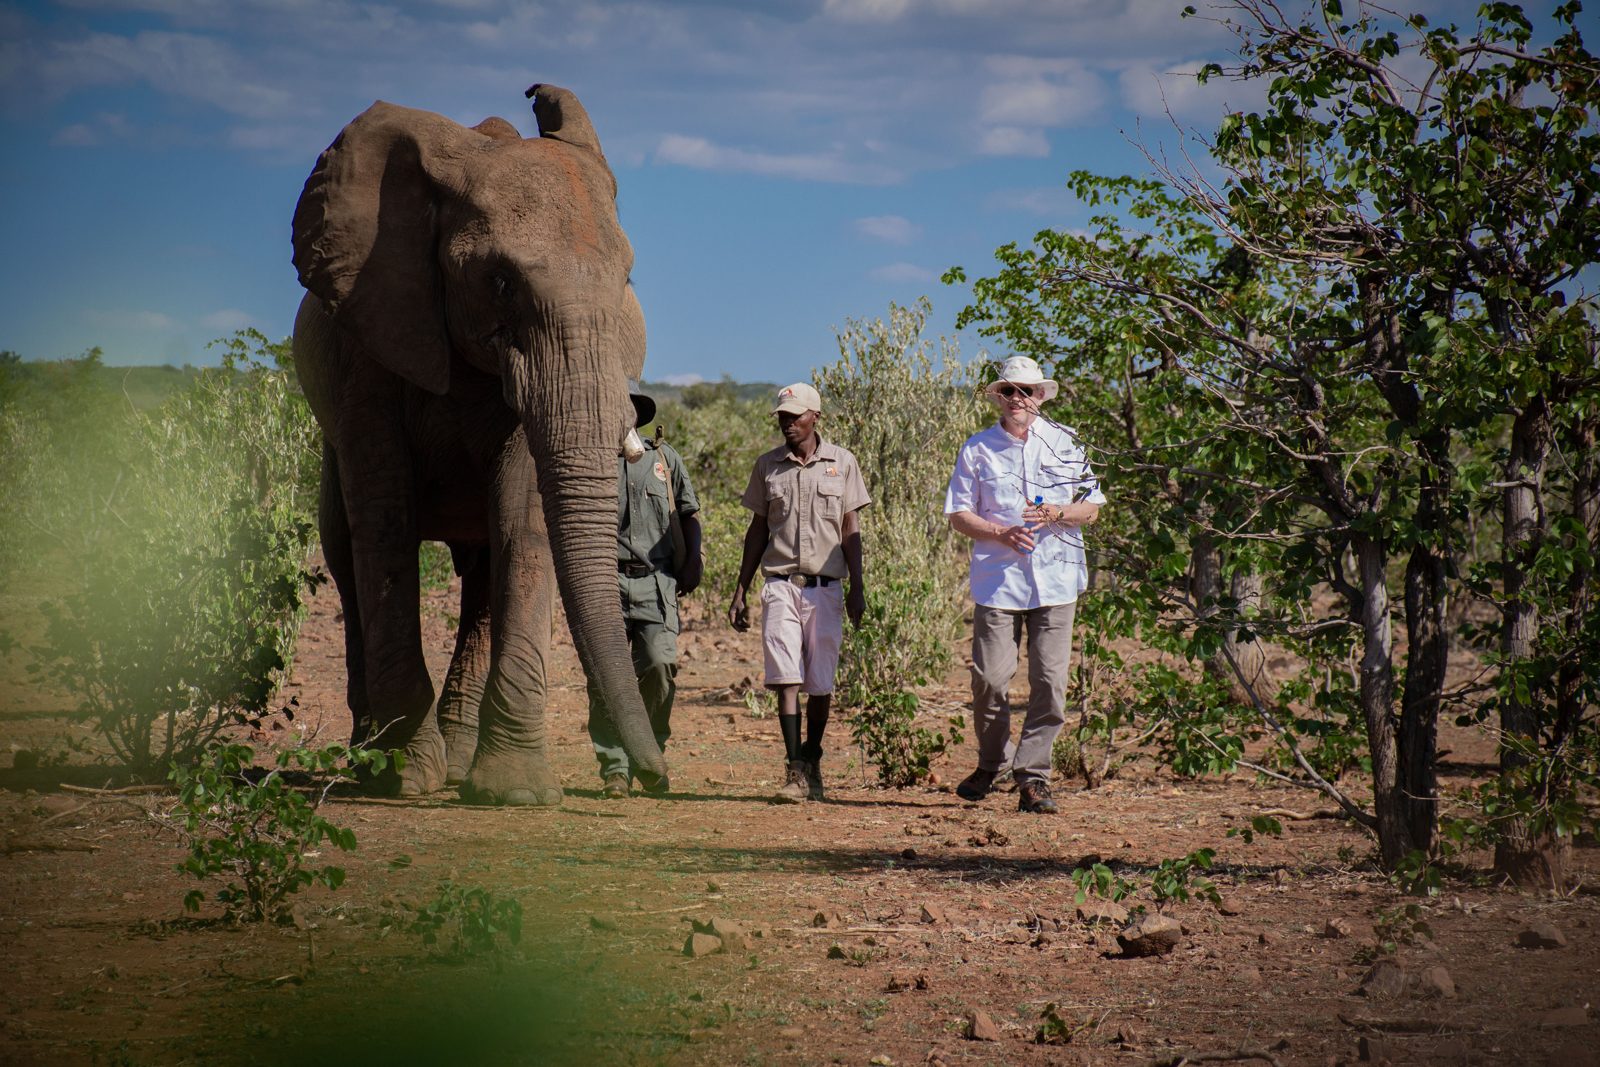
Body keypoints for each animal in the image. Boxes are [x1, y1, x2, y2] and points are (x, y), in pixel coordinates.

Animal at [290, 84, 667, 804]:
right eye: (499, 281)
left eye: (629, 283)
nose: (660, 778)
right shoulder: (368, 346)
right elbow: (384, 522)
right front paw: (404, 776)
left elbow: (523, 517)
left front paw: (513, 792)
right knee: (344, 549)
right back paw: (369, 756)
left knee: (487, 568)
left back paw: (462, 762)